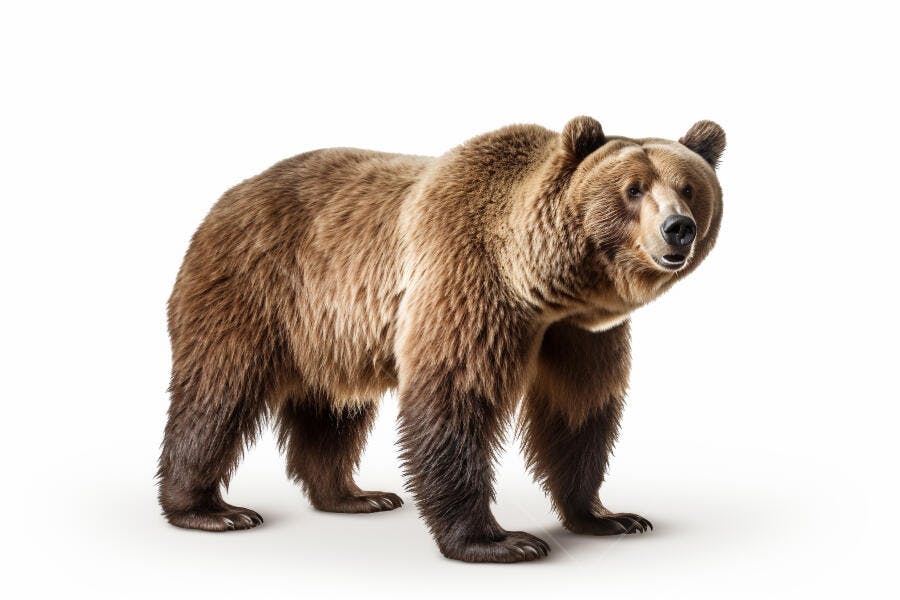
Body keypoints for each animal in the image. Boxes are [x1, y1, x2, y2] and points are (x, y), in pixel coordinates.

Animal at [158, 116, 725, 563]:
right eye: (633, 188)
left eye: (689, 187)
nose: (678, 228)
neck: (543, 286)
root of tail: (228, 195)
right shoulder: (467, 278)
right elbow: (456, 396)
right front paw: (499, 541)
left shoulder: (580, 332)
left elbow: (580, 408)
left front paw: (609, 515)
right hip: (257, 288)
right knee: (219, 391)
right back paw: (209, 510)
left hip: (331, 330)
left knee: (334, 410)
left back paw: (354, 495)